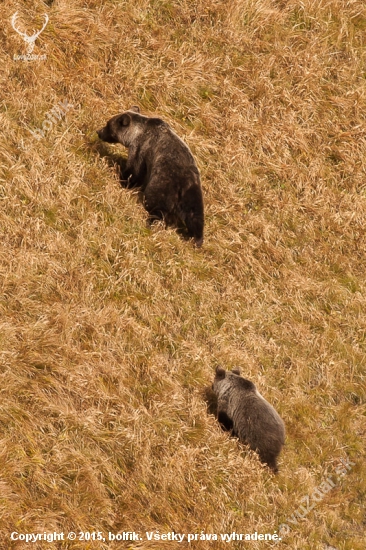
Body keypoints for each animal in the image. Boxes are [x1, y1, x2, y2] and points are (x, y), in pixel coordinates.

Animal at [97, 106, 204, 248]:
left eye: (108, 124)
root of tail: (183, 185)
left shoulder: (141, 149)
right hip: (193, 193)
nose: (99, 132)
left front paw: (123, 180)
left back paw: (153, 222)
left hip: (162, 184)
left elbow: (134, 170)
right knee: (195, 217)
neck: (137, 133)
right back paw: (196, 239)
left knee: (157, 205)